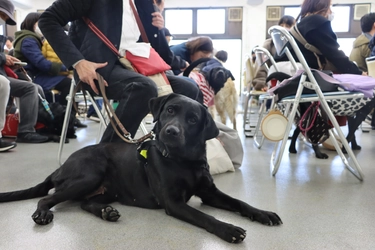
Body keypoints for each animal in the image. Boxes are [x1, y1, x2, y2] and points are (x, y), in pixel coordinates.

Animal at [0, 93, 282, 242]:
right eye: (170, 110)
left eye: (192, 119)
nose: (170, 131)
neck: (183, 161)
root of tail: (61, 167)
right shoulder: (173, 203)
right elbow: (205, 217)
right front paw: (228, 229)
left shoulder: (210, 193)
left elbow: (240, 203)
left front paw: (263, 213)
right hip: (90, 174)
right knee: (48, 198)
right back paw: (43, 213)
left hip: (107, 189)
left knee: (85, 203)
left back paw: (106, 212)